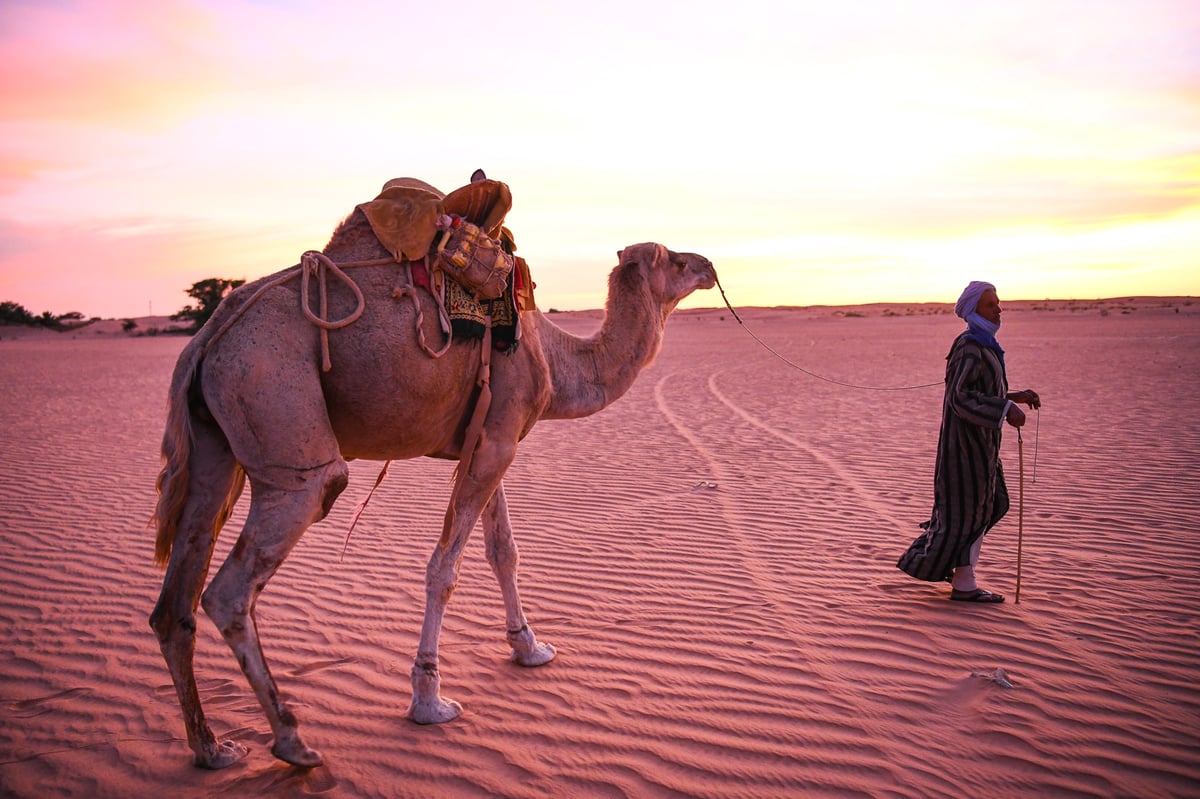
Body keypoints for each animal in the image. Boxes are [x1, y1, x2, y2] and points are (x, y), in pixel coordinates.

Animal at [147, 178, 710, 767]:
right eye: (675, 259)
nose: (709, 265)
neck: (557, 361)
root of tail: (206, 338)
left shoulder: (489, 439)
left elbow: (503, 551)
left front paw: (530, 647)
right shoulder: (498, 440)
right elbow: (444, 569)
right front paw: (429, 699)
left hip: (213, 450)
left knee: (176, 595)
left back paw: (213, 748)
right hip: (276, 404)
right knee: (238, 582)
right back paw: (293, 740)